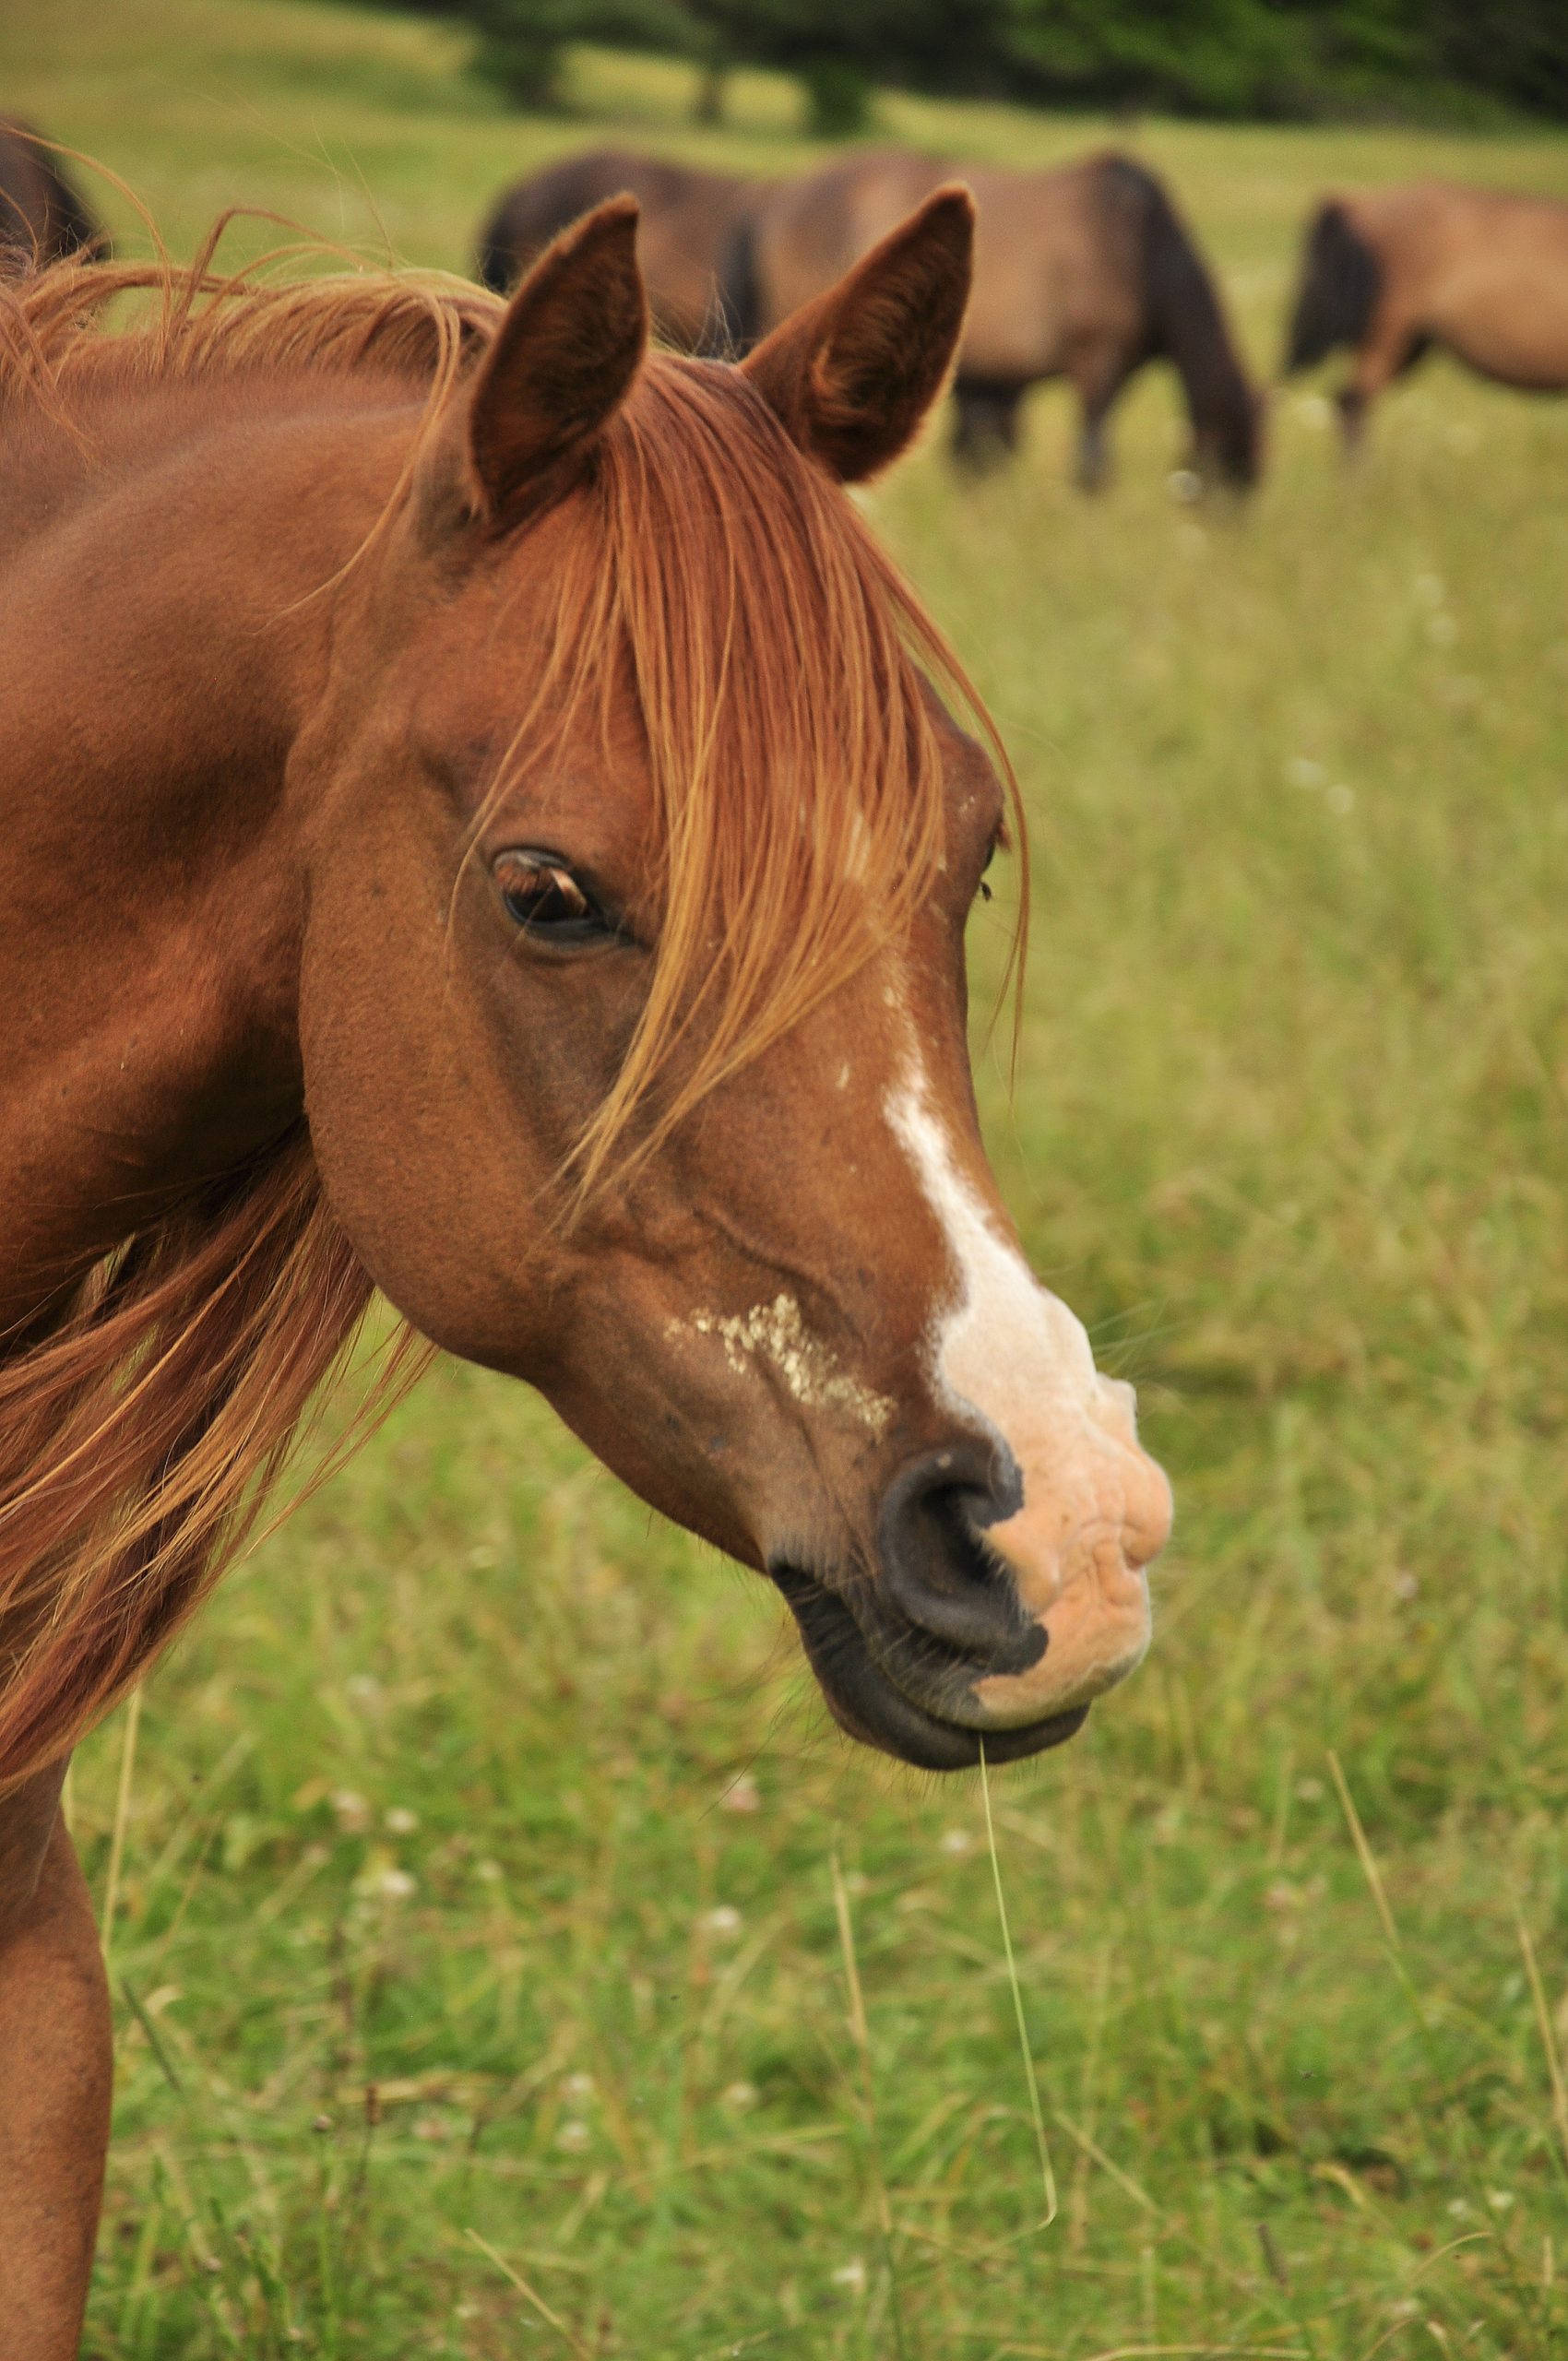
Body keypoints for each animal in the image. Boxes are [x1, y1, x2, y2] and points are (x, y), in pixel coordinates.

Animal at [738, 148, 1262, 488]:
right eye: (1233, 459)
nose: (1232, 532)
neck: (1140, 248)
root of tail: (778, 200)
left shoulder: (1002, 385)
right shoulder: (1096, 362)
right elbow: (1091, 460)